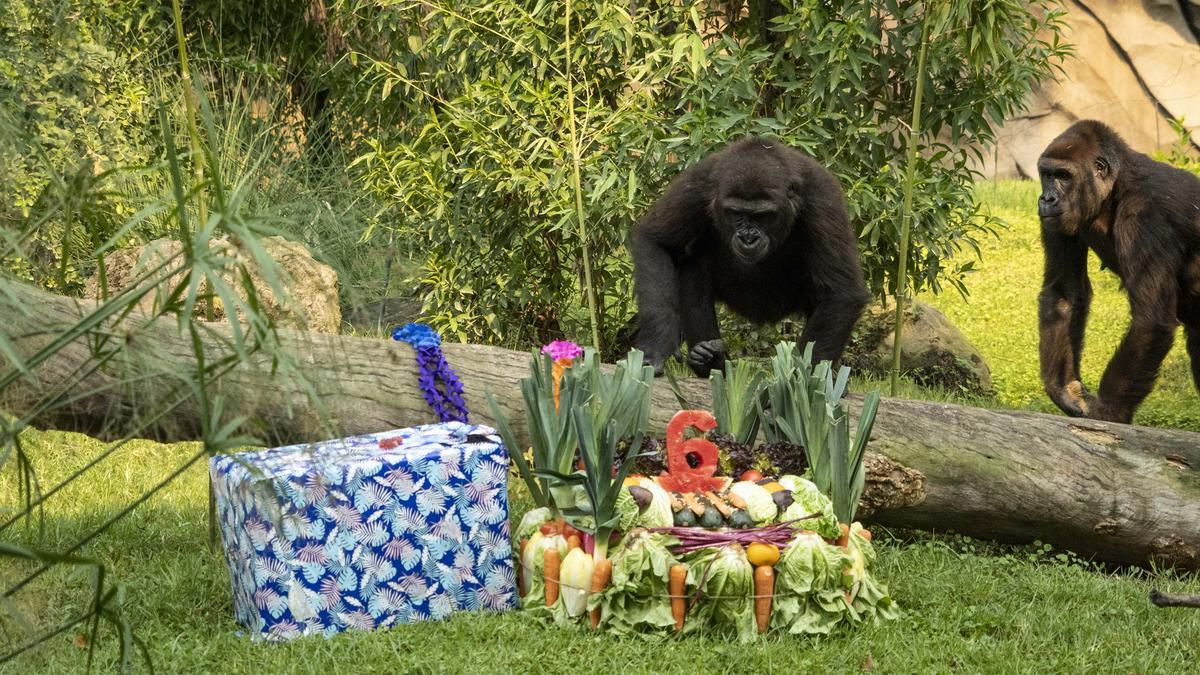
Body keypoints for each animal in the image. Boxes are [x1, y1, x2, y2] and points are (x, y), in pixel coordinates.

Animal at [628, 136, 873, 374]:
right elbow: (657, 242)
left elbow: (840, 292)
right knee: (693, 270)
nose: (748, 237)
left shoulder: (822, 198)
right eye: (736, 213)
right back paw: (710, 361)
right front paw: (657, 345)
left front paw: (803, 380)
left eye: (763, 216)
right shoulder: (698, 185)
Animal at [1036, 118, 1195, 417]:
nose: (1046, 199)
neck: (1116, 187)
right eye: (1046, 174)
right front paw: (1062, 389)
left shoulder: (1143, 215)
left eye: (1064, 176)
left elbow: (1150, 322)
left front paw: (1107, 412)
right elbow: (1064, 293)